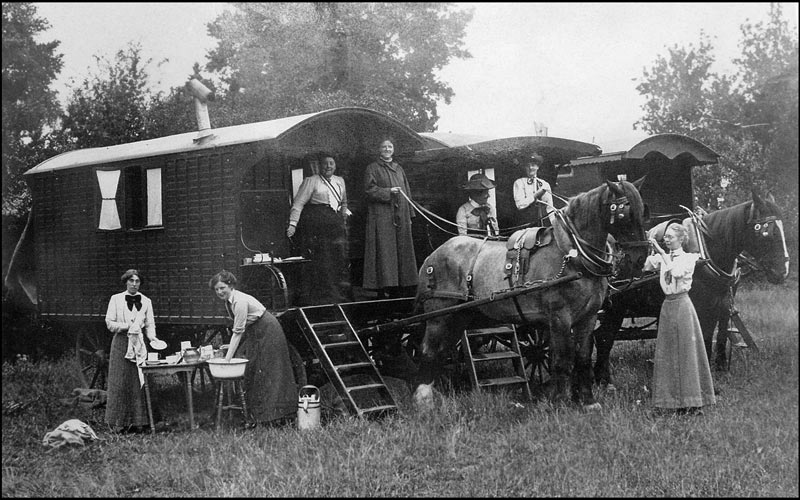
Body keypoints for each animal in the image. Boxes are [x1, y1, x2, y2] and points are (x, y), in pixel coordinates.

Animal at [416, 180, 648, 410]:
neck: (573, 255)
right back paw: (423, 400)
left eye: (642, 210)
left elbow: (582, 357)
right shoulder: (559, 317)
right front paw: (558, 401)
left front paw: (588, 401)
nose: (640, 257)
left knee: (443, 351)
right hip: (439, 316)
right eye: (624, 212)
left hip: (460, 316)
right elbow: (561, 360)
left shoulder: (588, 317)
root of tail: (431, 256)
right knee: (428, 351)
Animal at [592, 191, 788, 386]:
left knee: (601, 336)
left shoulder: (721, 304)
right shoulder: (701, 308)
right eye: (768, 232)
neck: (706, 249)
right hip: (616, 308)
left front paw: (718, 369)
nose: (782, 272)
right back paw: (603, 380)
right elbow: (703, 337)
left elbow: (717, 335)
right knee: (603, 337)